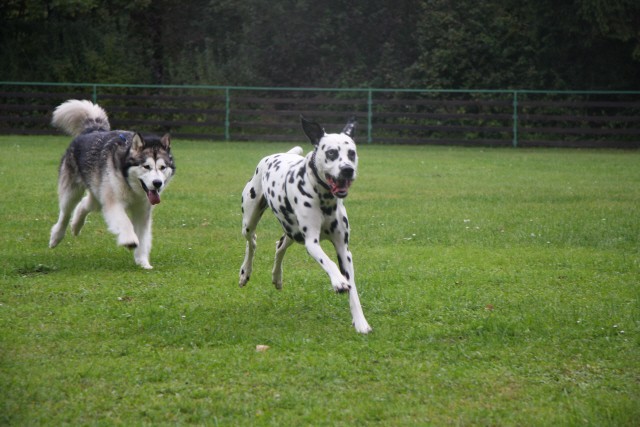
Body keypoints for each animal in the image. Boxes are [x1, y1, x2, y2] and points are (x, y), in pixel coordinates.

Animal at [49, 98, 175, 270]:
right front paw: (129, 240)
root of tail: (93, 130)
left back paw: (75, 226)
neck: (132, 187)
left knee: (84, 204)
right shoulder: (113, 202)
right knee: (65, 213)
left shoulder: (142, 210)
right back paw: (56, 237)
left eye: (162, 167)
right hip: (73, 192)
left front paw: (143, 262)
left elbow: (143, 238)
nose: (157, 183)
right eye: (146, 166)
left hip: (98, 194)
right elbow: (125, 222)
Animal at [239, 116, 370, 334]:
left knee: (280, 245)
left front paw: (361, 323)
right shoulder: (311, 242)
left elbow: (353, 289)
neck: (325, 199)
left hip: (293, 232)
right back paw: (245, 272)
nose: (347, 170)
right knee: (252, 241)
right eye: (332, 153)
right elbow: (329, 262)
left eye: (351, 153)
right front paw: (338, 281)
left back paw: (277, 277)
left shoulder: (344, 250)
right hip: (250, 221)